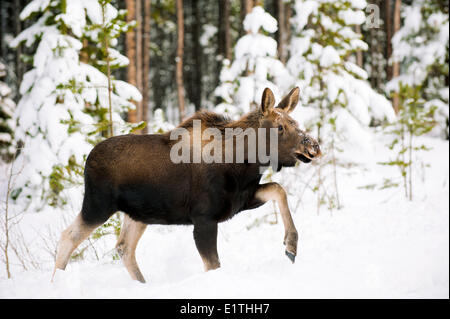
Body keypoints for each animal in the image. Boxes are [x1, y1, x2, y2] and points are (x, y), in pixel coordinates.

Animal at [52, 87, 320, 282]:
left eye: (296, 122)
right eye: (280, 127)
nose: (313, 145)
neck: (246, 162)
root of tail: (88, 158)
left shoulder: (240, 200)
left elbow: (279, 189)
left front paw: (291, 246)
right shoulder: (204, 218)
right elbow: (213, 265)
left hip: (137, 214)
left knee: (123, 247)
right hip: (98, 205)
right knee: (68, 236)